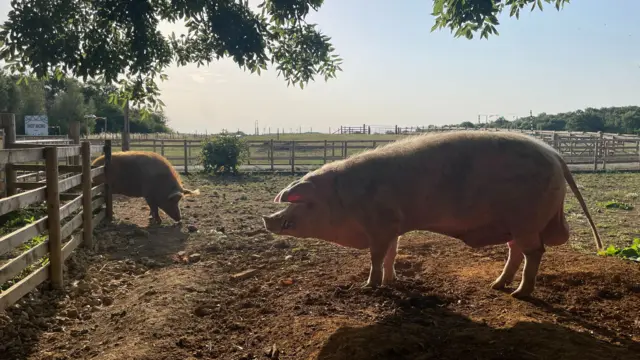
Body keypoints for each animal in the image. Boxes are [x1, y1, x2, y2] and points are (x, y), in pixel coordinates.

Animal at [260, 131, 600, 300]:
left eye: (304, 203)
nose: (267, 219)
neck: (343, 198)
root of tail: (555, 155)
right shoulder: (393, 226)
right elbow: (392, 254)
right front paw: (392, 280)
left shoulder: (380, 224)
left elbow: (376, 256)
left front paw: (369, 286)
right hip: (515, 225)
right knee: (515, 251)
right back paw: (496, 286)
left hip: (526, 220)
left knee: (534, 252)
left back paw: (520, 294)